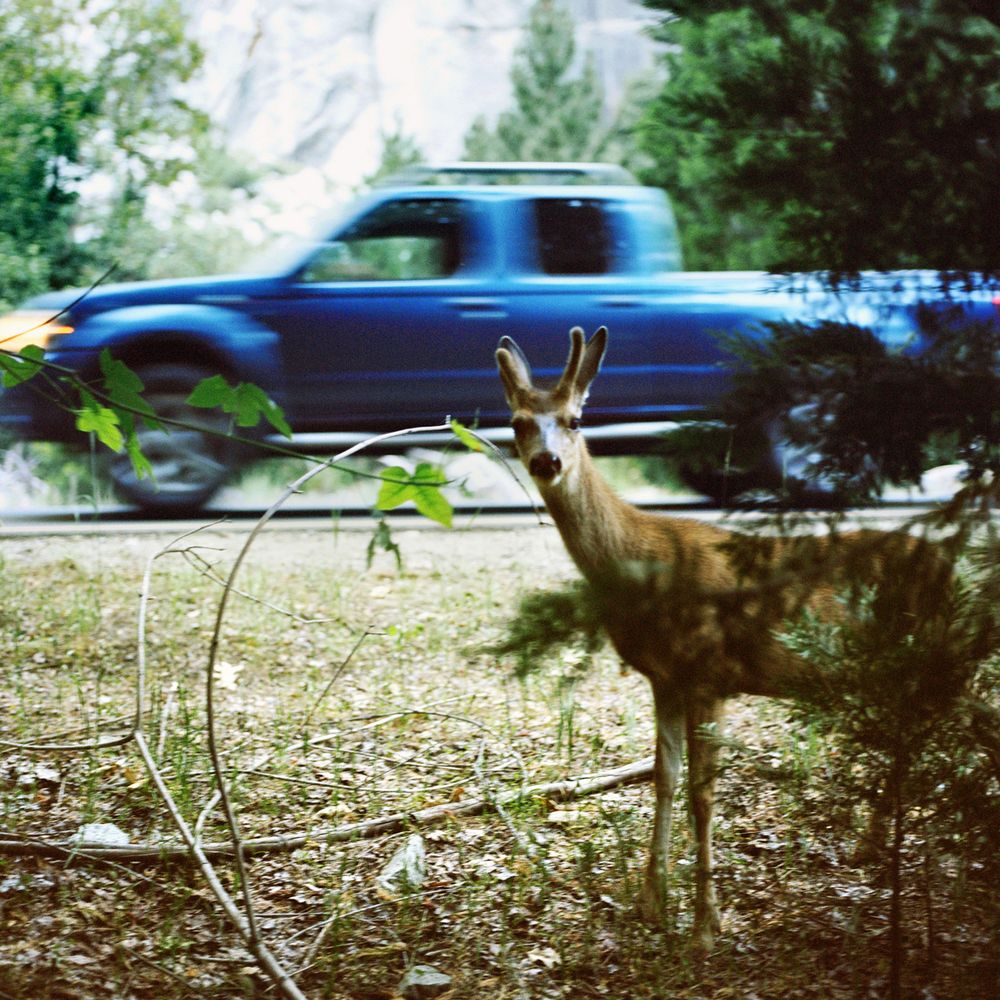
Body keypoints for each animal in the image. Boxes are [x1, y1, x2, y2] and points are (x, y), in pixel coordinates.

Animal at [496, 324, 948, 948]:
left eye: (575, 419)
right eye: (518, 422)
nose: (546, 460)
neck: (644, 565)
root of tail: (950, 565)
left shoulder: (711, 673)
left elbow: (703, 795)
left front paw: (706, 925)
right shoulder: (664, 678)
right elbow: (664, 779)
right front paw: (651, 904)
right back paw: (869, 846)